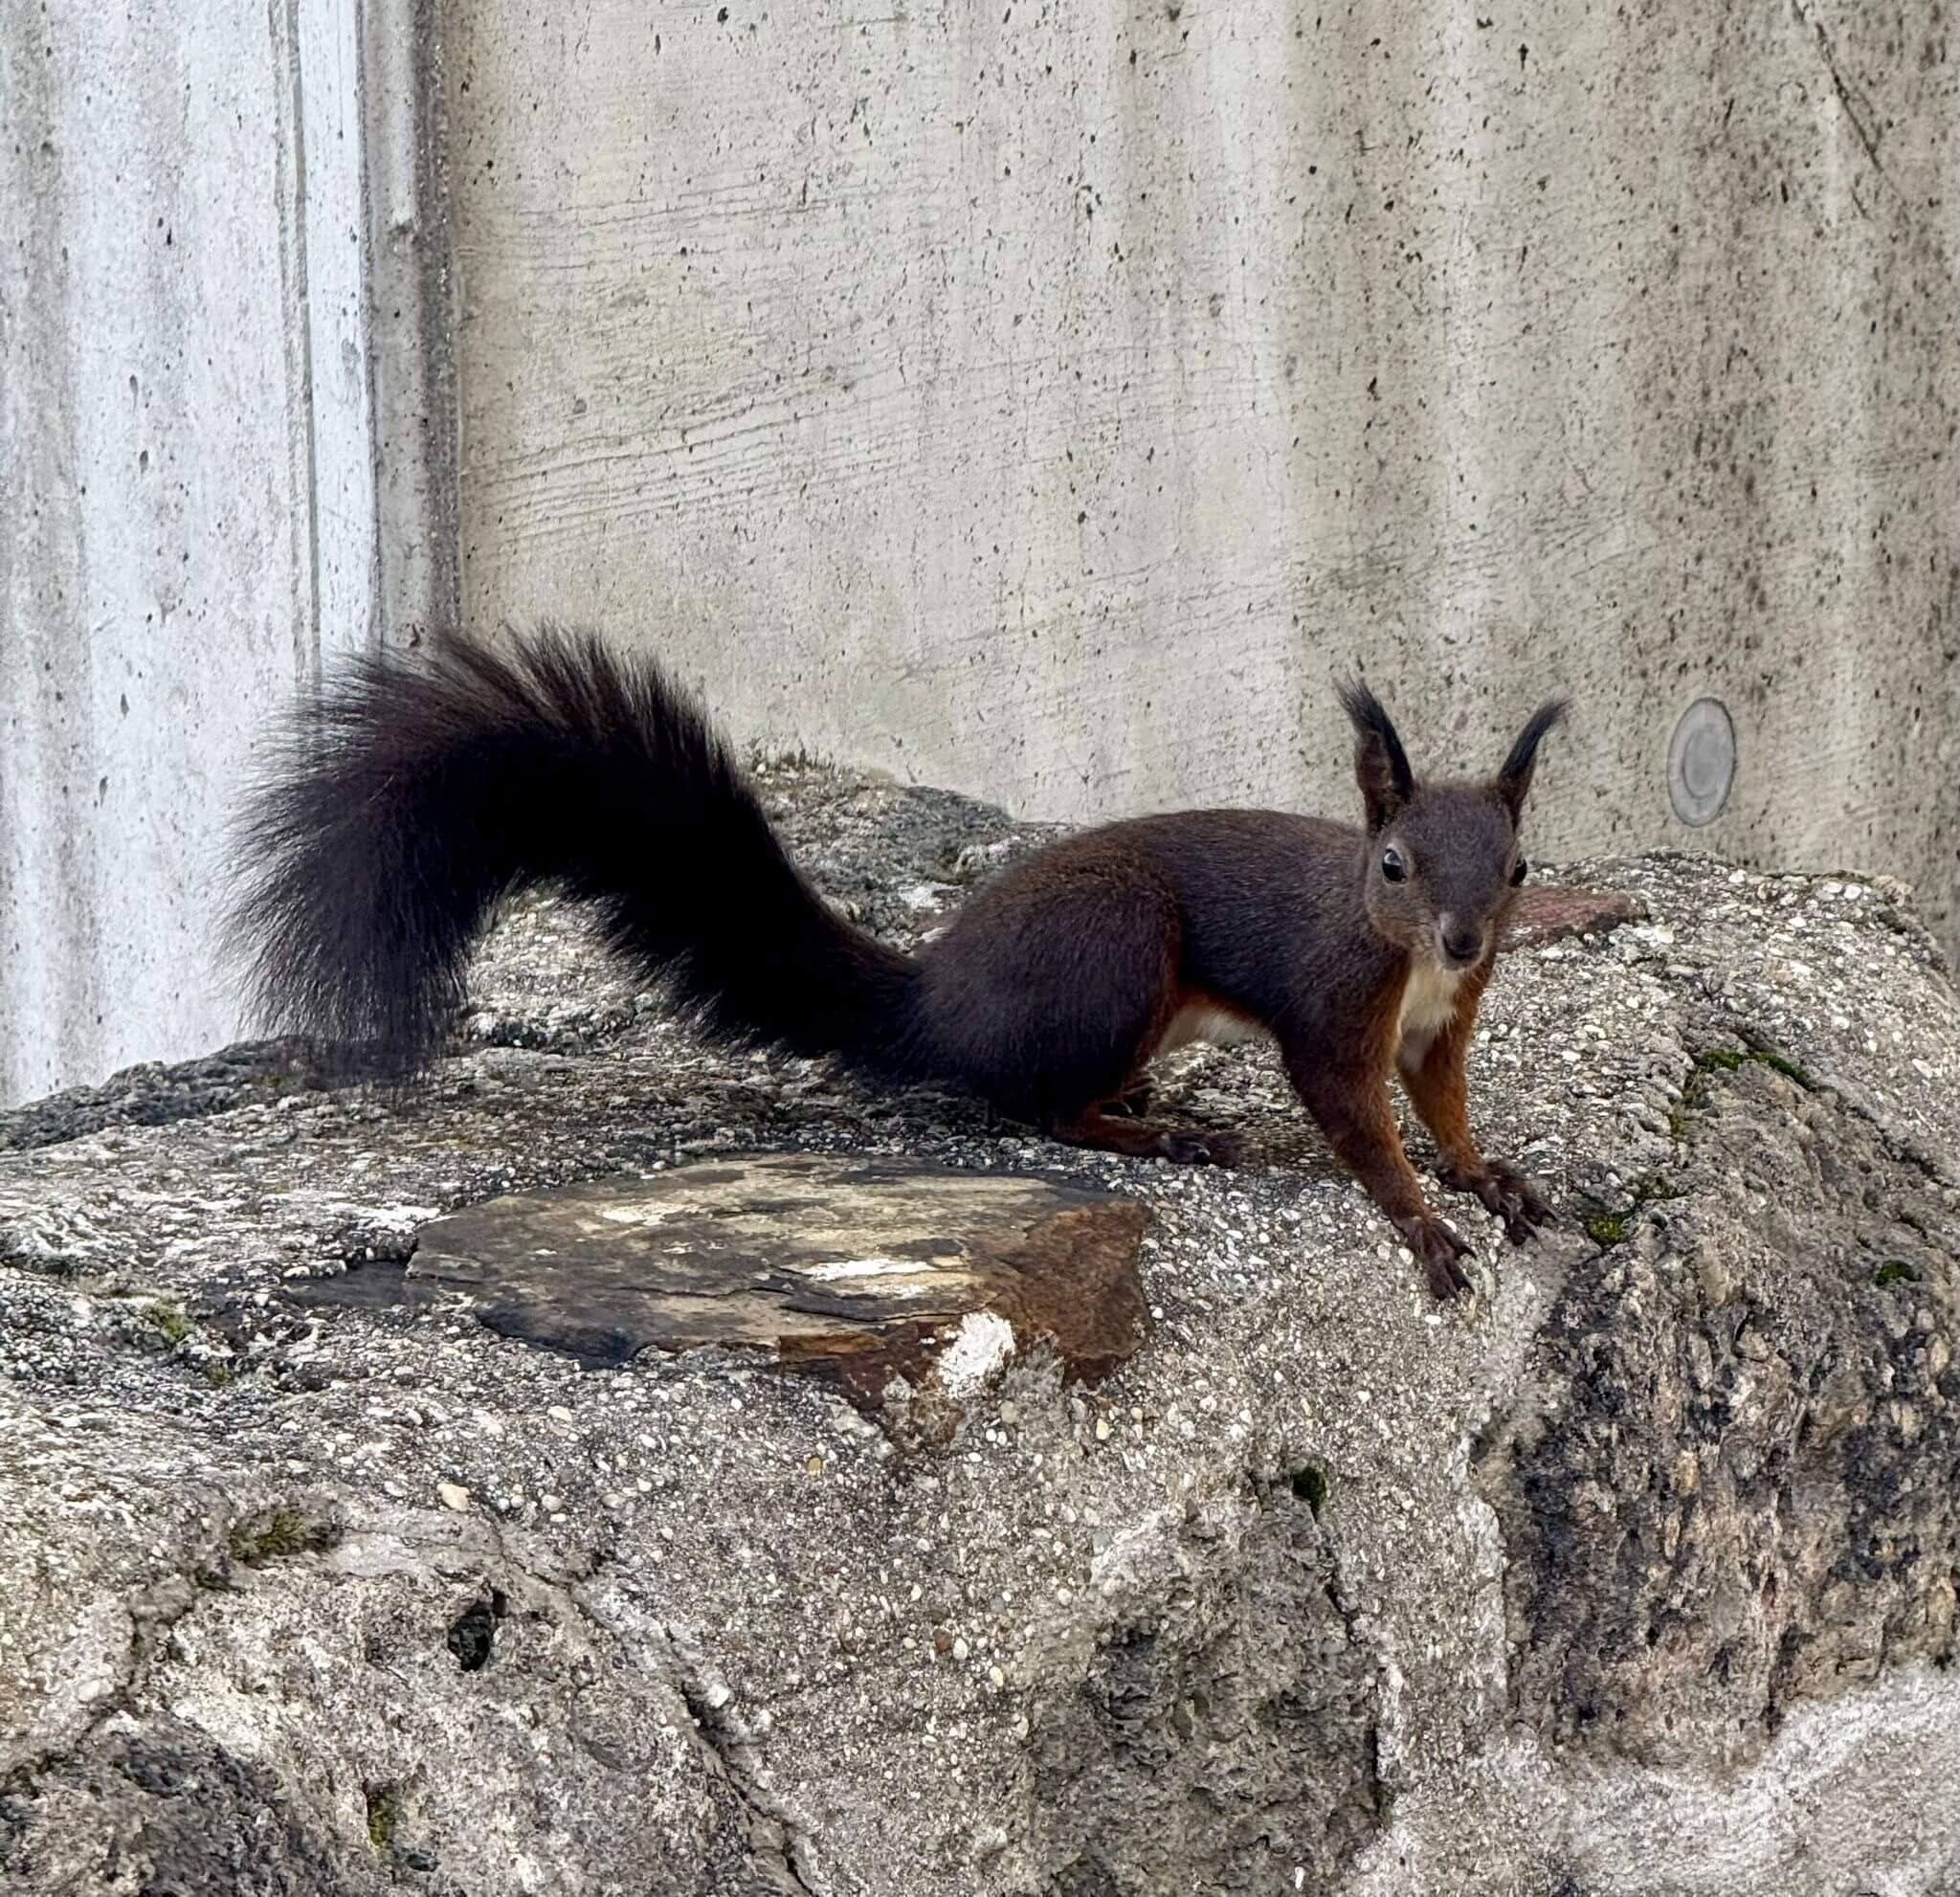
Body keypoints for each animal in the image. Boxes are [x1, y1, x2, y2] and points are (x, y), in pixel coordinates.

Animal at [226, 626, 1566, 1301]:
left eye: (1514, 866)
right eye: (1390, 863)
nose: (1463, 936)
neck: (1409, 962)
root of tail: (932, 999)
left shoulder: (1441, 1019)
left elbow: (1440, 1103)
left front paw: (1483, 1173)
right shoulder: (1338, 1004)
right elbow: (1353, 1119)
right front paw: (1419, 1220)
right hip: (1115, 952)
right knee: (1040, 1104)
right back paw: (1156, 1131)